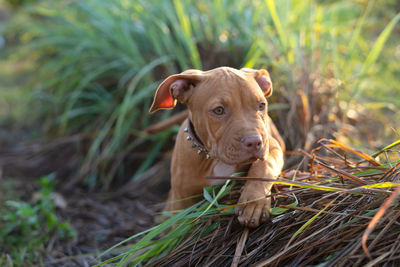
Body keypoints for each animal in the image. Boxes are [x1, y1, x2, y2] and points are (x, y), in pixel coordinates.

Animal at [150, 67, 284, 228]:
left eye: (261, 106)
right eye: (218, 110)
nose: (254, 142)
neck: (214, 159)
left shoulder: (273, 147)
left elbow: (265, 166)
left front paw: (253, 202)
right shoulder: (181, 201)